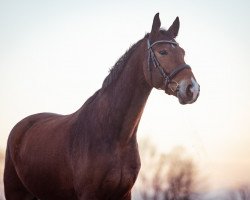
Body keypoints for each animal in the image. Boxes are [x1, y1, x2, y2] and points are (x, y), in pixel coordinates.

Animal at [3, 13, 199, 199]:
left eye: (182, 52)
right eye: (163, 52)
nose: (192, 89)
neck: (114, 136)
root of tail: (21, 126)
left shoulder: (124, 194)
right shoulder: (89, 193)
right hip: (15, 192)